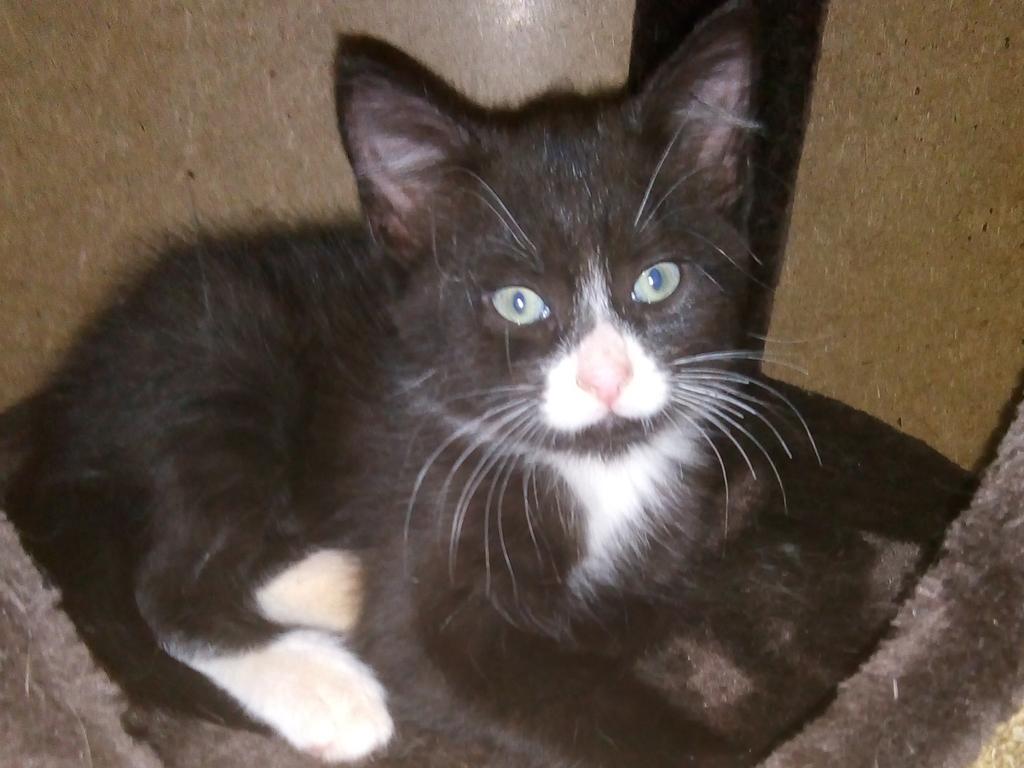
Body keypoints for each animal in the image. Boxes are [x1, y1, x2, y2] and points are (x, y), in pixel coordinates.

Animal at [0, 3, 966, 765]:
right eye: (519, 302)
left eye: (658, 282)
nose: (607, 376)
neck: (592, 468)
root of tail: (64, 413)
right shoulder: (430, 505)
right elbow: (452, 651)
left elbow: (644, 594)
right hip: (217, 360)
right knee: (168, 583)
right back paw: (325, 680)